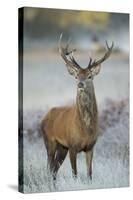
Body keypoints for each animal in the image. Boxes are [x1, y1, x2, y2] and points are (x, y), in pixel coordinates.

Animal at [40, 34, 113, 181]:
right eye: (76, 76)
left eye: (89, 76)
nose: (80, 84)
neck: (85, 129)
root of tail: (45, 117)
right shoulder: (72, 146)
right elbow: (75, 174)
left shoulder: (91, 147)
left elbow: (90, 174)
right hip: (49, 141)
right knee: (49, 167)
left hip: (62, 148)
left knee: (54, 169)